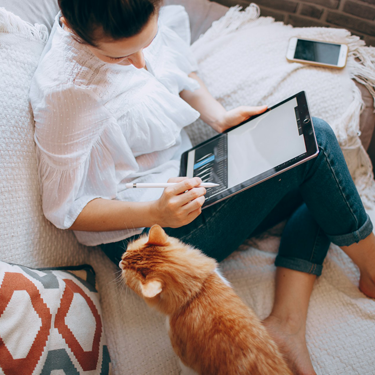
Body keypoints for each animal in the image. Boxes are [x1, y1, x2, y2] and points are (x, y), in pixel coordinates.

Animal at [120, 225, 294, 374]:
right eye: (127, 251)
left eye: (125, 271)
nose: (121, 261)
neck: (197, 292)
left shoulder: (184, 357)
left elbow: (184, 369)